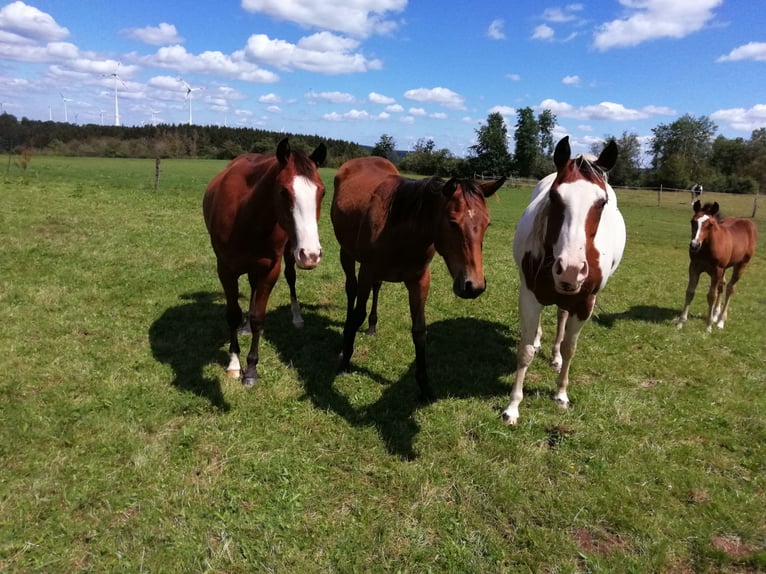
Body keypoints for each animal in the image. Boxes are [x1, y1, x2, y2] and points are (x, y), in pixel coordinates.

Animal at [204, 139, 328, 390]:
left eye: (322, 192)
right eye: (283, 191)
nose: (311, 254)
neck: (246, 215)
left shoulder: (270, 269)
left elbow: (258, 317)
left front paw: (251, 369)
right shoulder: (226, 270)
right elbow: (233, 314)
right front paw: (234, 364)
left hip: (289, 250)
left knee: (290, 278)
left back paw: (296, 317)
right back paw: (244, 328)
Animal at [332, 155, 508, 402]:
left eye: (487, 223)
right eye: (452, 222)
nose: (473, 285)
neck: (400, 231)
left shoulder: (419, 281)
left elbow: (419, 331)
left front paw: (425, 387)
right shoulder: (366, 272)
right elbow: (358, 313)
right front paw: (345, 360)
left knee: (377, 288)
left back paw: (372, 327)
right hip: (346, 254)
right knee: (351, 290)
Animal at [504, 138, 632, 428]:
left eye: (602, 202)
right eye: (554, 196)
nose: (571, 270)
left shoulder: (584, 303)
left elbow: (570, 348)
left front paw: (561, 394)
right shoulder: (529, 295)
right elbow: (525, 351)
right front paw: (513, 407)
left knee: (562, 320)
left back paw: (555, 357)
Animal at [680, 201, 760, 332]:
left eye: (710, 224)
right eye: (693, 221)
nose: (694, 245)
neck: (706, 248)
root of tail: (748, 222)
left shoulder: (717, 270)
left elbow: (712, 295)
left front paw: (708, 326)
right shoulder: (694, 267)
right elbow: (690, 292)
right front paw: (681, 322)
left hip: (741, 265)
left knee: (730, 288)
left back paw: (720, 321)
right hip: (724, 268)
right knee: (722, 286)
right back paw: (716, 314)